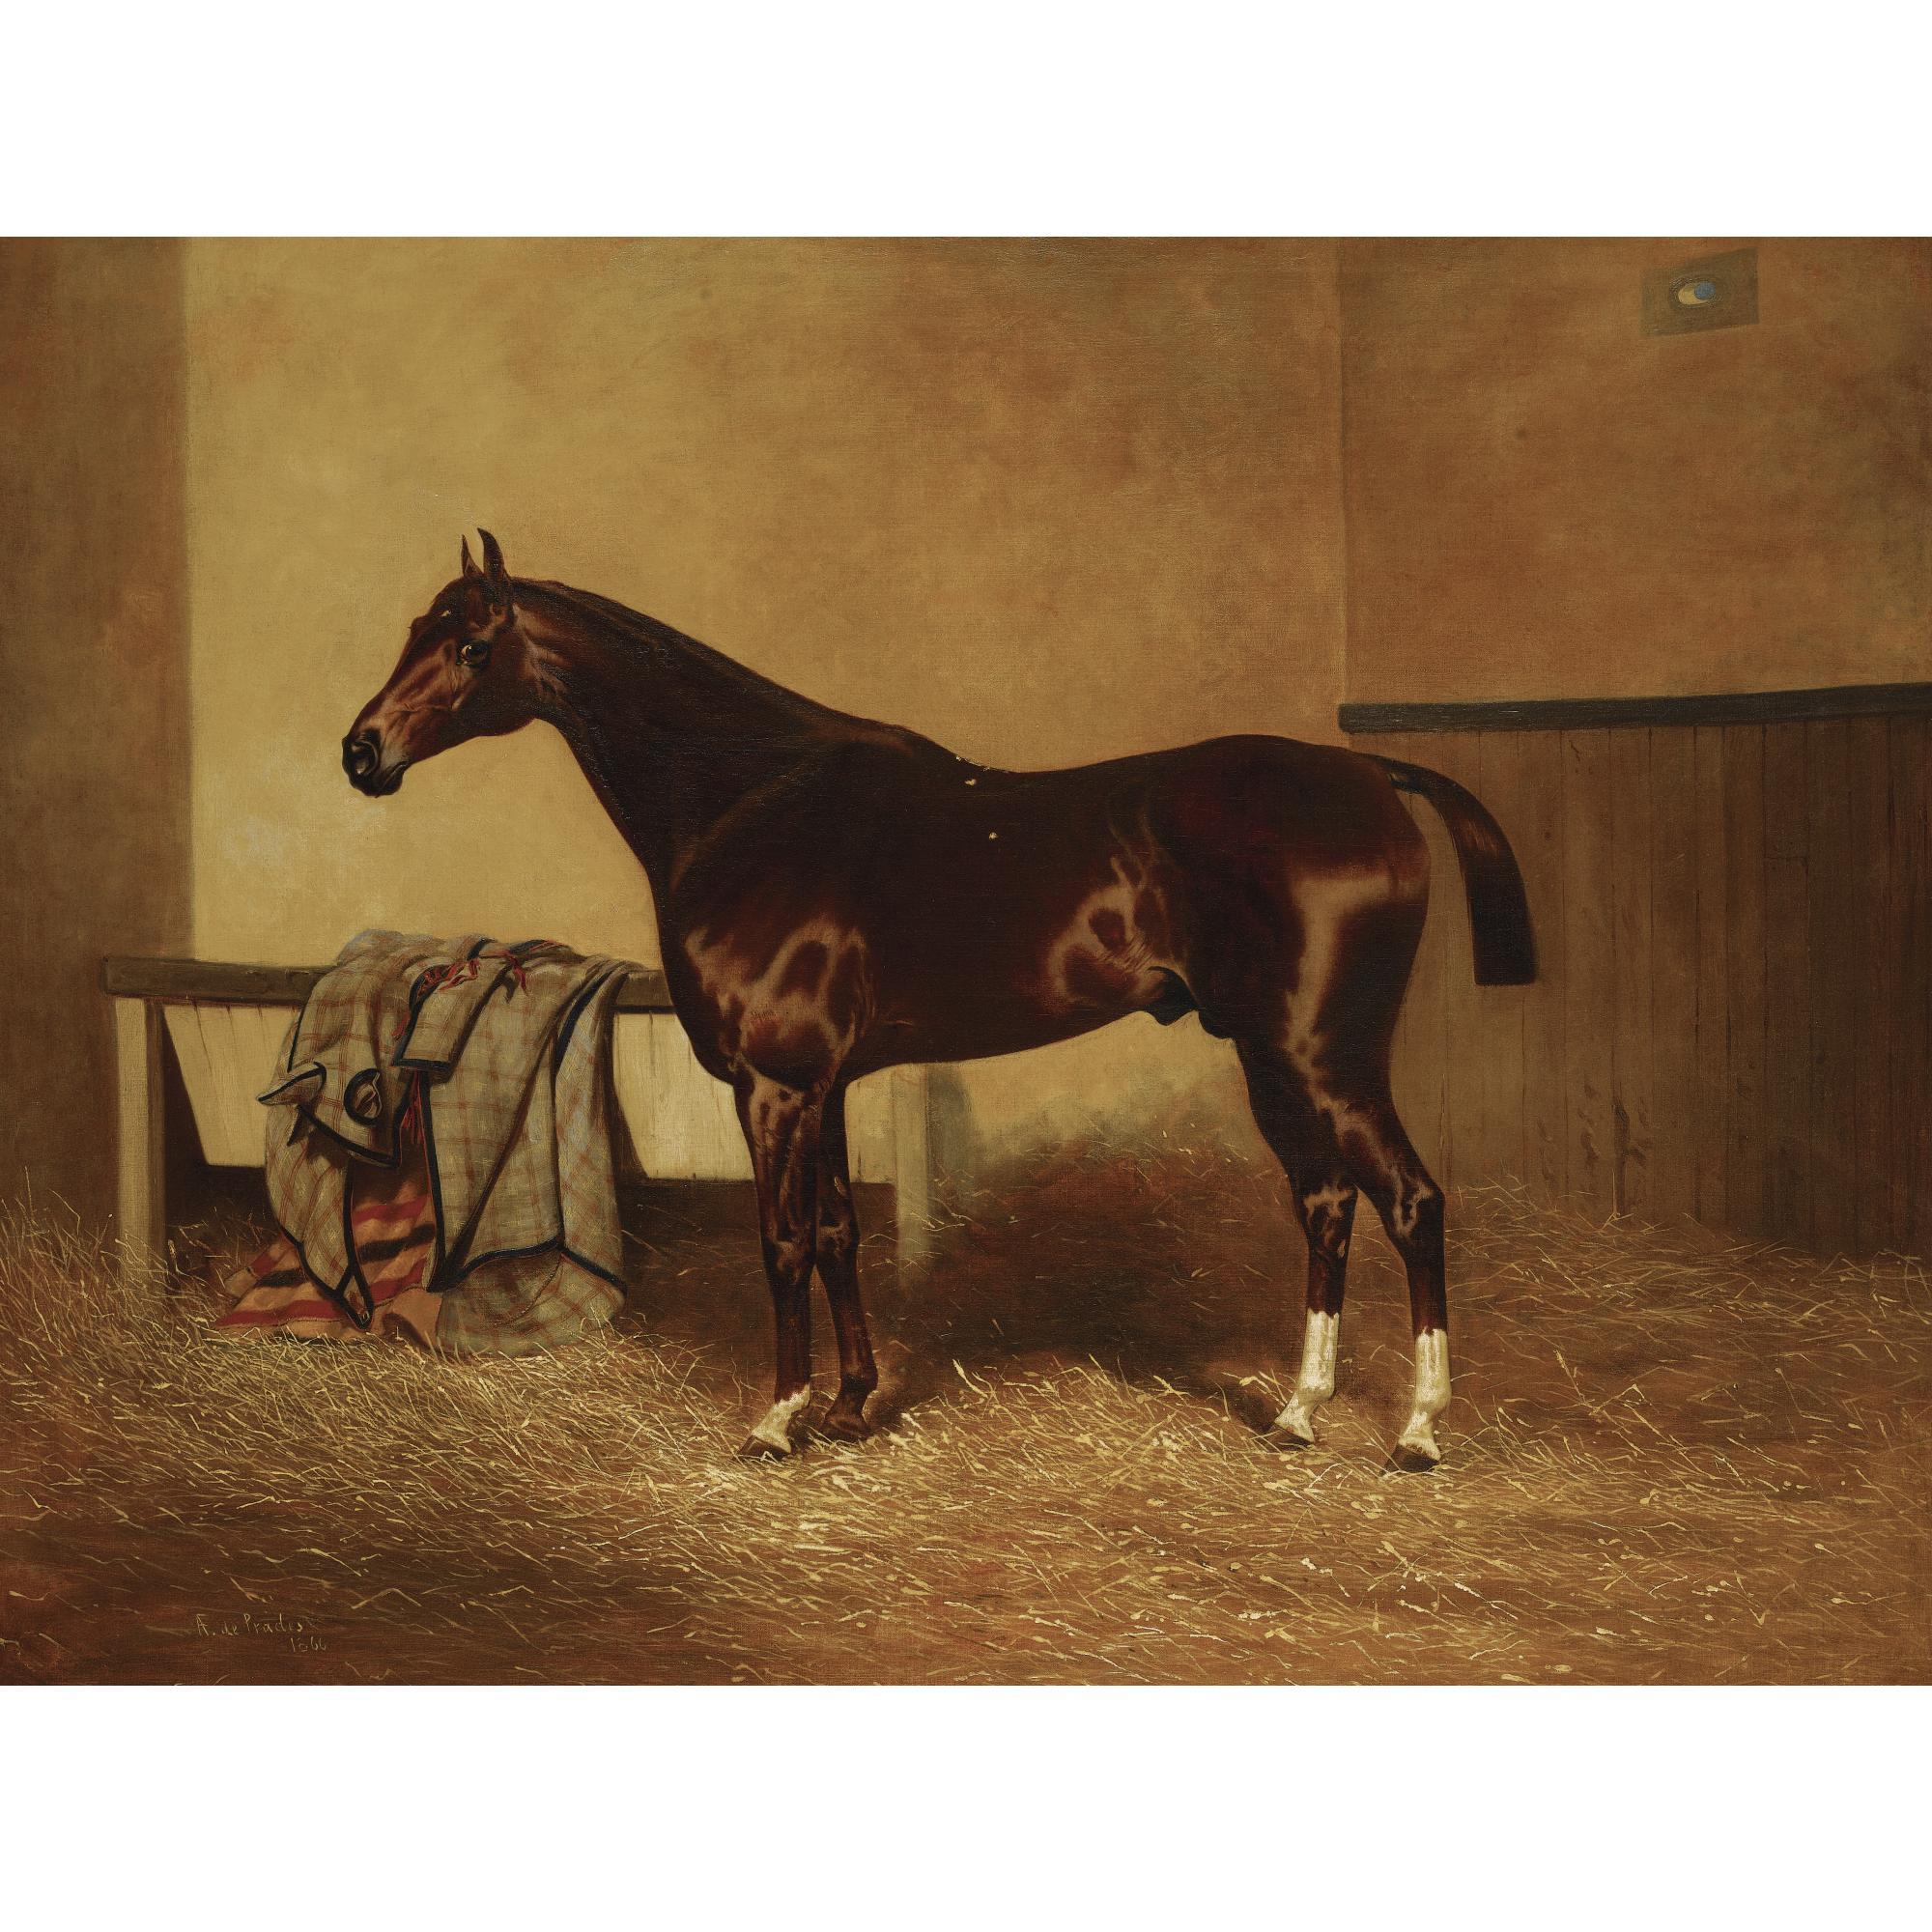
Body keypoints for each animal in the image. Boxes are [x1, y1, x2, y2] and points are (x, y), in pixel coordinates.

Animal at [343, 532, 1535, 1468]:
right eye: (410, 629)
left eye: (471, 646)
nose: (362, 751)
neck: (752, 804)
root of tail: (1371, 776)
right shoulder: (824, 1084)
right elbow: (836, 1231)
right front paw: (849, 1404)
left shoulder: (773, 1084)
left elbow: (782, 1240)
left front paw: (777, 1419)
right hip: (1272, 1057)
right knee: (1326, 1203)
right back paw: (1296, 1413)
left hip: (1325, 1058)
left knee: (1410, 1202)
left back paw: (1417, 1430)